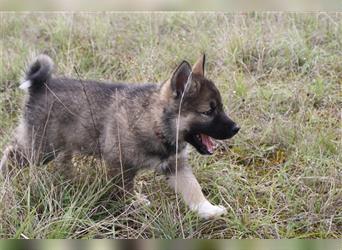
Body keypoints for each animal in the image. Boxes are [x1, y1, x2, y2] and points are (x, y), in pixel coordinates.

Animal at [0, 54, 240, 219]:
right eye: (208, 112)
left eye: (220, 107)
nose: (236, 128)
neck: (156, 124)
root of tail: (40, 86)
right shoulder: (121, 166)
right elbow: (125, 190)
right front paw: (134, 204)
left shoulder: (176, 165)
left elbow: (192, 187)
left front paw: (207, 209)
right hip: (41, 149)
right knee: (11, 153)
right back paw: (5, 180)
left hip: (60, 145)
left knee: (62, 162)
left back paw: (69, 179)